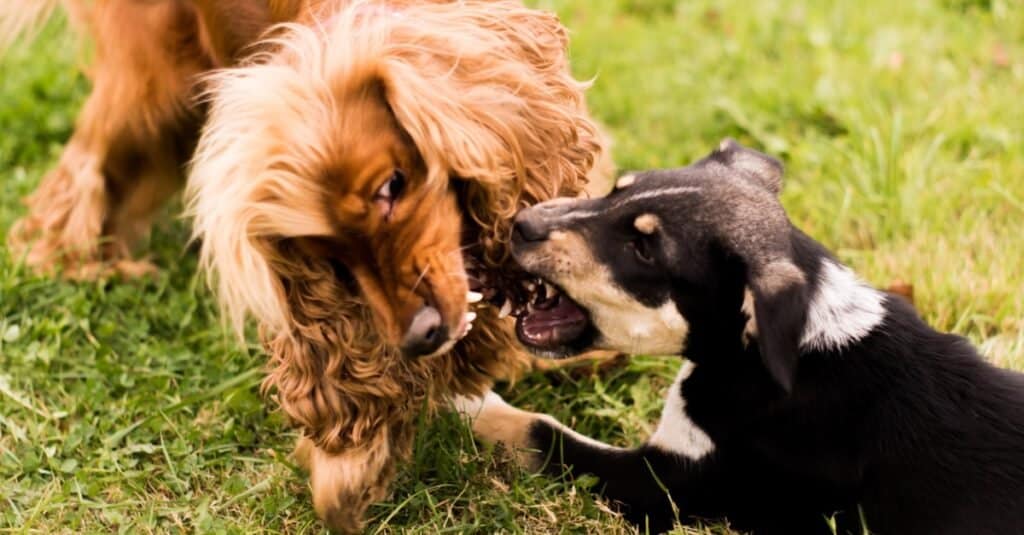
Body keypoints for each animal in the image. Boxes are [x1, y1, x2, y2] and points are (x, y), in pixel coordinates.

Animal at [2, 0, 606, 524]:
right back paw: (82, 265)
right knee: (83, 169)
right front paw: (348, 468)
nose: (419, 336)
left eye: (392, 186)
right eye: (329, 256)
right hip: (154, 83)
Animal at [460, 140, 1024, 532]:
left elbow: (539, 430)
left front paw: (465, 402)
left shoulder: (672, 485)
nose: (520, 223)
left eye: (643, 250)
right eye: (615, 191)